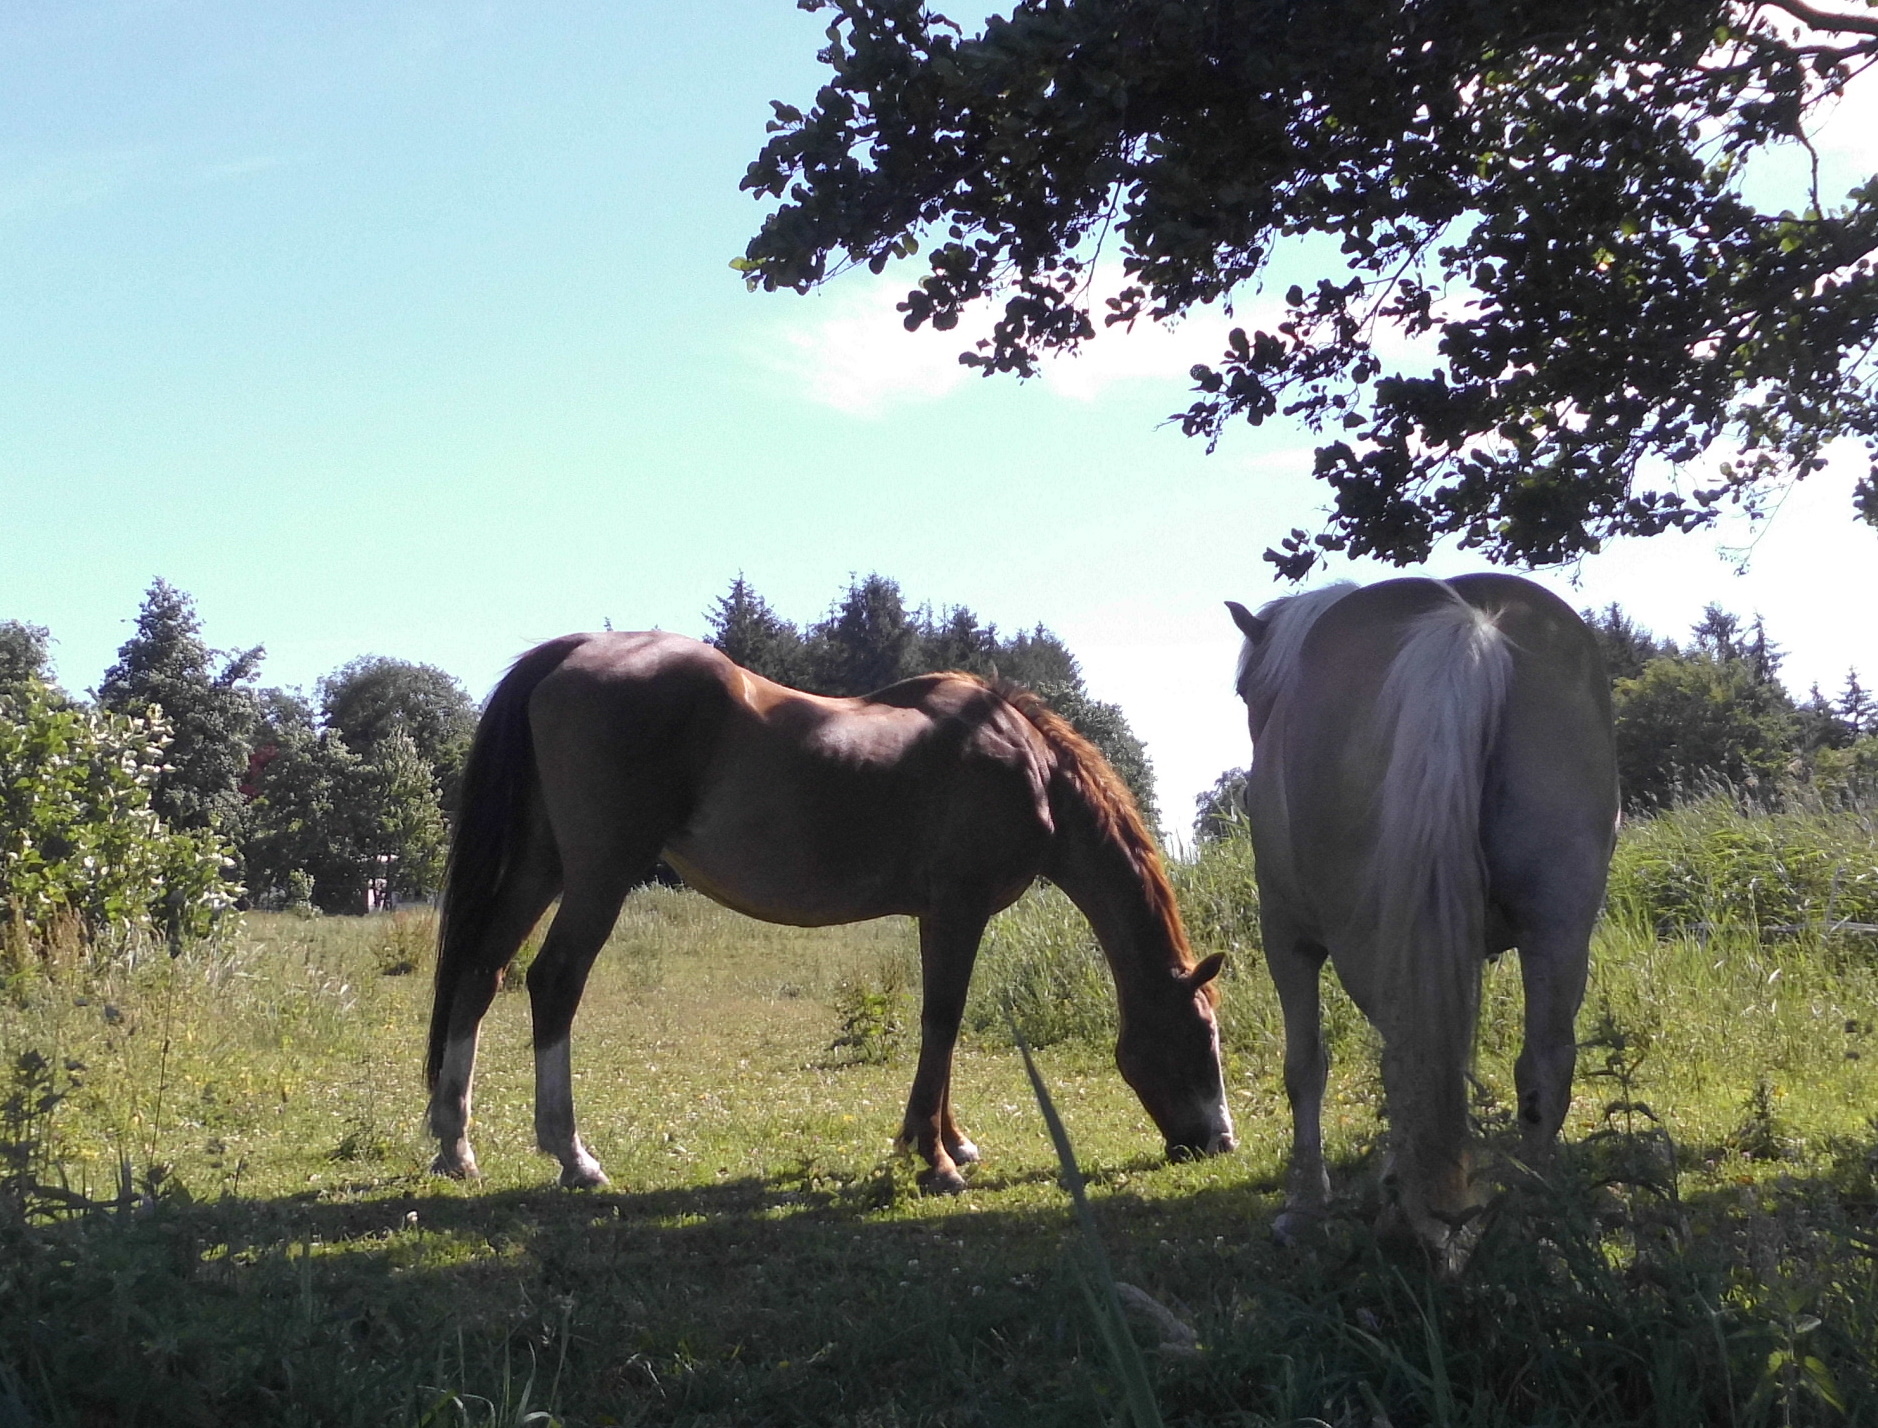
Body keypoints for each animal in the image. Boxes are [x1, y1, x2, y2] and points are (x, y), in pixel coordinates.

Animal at [426, 631, 1234, 1192]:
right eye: (1200, 1035)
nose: (1219, 1142)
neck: (1029, 768)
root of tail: (573, 651)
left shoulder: (938, 915)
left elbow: (941, 1027)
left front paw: (946, 1141)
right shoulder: (961, 908)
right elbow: (943, 1021)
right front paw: (935, 1160)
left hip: (541, 868)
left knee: (480, 973)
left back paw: (454, 1146)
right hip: (600, 875)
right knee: (554, 982)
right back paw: (573, 1156)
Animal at [1225, 573, 1617, 1268]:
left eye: (1245, 689)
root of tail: (1468, 628)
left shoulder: (1286, 937)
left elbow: (1305, 1068)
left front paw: (1304, 1208)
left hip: (1368, 944)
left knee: (1405, 1060)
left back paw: (1411, 1216)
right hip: (1559, 930)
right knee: (1544, 1067)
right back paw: (1538, 1223)